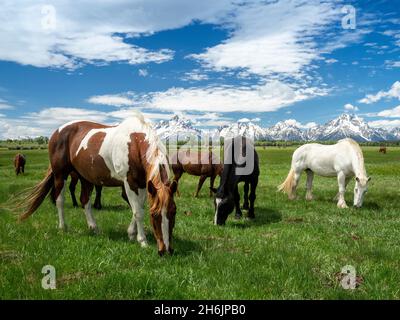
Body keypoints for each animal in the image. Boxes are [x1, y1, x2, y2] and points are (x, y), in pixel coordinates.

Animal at [17, 112, 177, 255]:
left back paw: (93, 227)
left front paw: (131, 233)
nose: (166, 250)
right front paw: (142, 240)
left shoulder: (143, 184)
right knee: (59, 200)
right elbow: (138, 211)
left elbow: (139, 208)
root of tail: (57, 132)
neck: (135, 142)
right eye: (154, 215)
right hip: (60, 175)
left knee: (85, 201)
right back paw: (63, 227)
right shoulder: (129, 183)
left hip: (85, 177)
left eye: (174, 212)